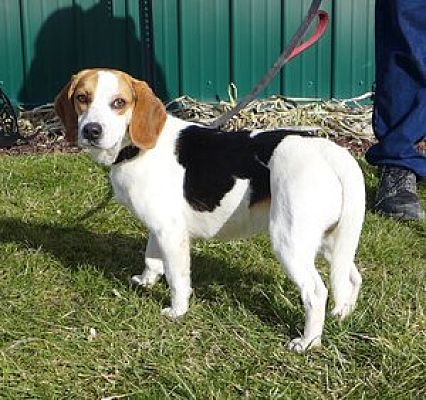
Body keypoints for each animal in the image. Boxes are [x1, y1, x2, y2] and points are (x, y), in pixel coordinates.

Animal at [55, 69, 364, 354]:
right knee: (351, 277)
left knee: (317, 292)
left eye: (119, 102)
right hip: (330, 240)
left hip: (289, 241)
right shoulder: (159, 227)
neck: (136, 148)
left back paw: (308, 342)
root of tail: (331, 152)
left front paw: (177, 311)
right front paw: (145, 282)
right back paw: (342, 315)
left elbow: (177, 278)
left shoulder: (171, 233)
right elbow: (151, 259)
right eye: (82, 98)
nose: (91, 131)